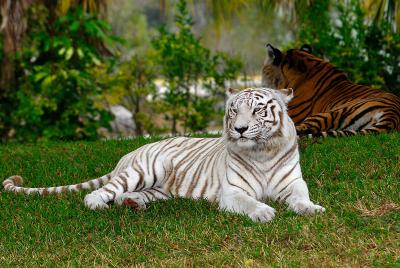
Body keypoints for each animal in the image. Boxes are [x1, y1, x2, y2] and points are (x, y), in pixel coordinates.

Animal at [2, 87, 324, 222]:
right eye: (234, 110)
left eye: (257, 109)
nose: (240, 129)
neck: (262, 151)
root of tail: (130, 152)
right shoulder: (232, 192)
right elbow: (248, 201)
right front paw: (263, 212)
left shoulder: (294, 183)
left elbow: (301, 198)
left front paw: (312, 209)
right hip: (145, 170)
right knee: (97, 193)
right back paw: (101, 206)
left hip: (159, 189)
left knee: (130, 195)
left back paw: (133, 204)